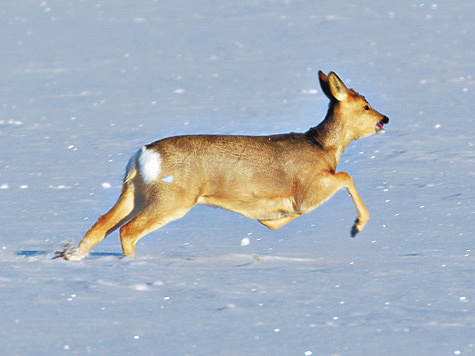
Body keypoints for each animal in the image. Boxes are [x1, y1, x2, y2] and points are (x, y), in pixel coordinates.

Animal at [56, 69, 390, 260]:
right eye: (365, 105)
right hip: (172, 199)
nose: (384, 118)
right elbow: (345, 176)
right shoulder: (308, 190)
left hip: (135, 194)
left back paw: (69, 257)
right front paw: (357, 226)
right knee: (127, 231)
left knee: (101, 226)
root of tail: (142, 155)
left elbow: (275, 219)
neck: (323, 148)